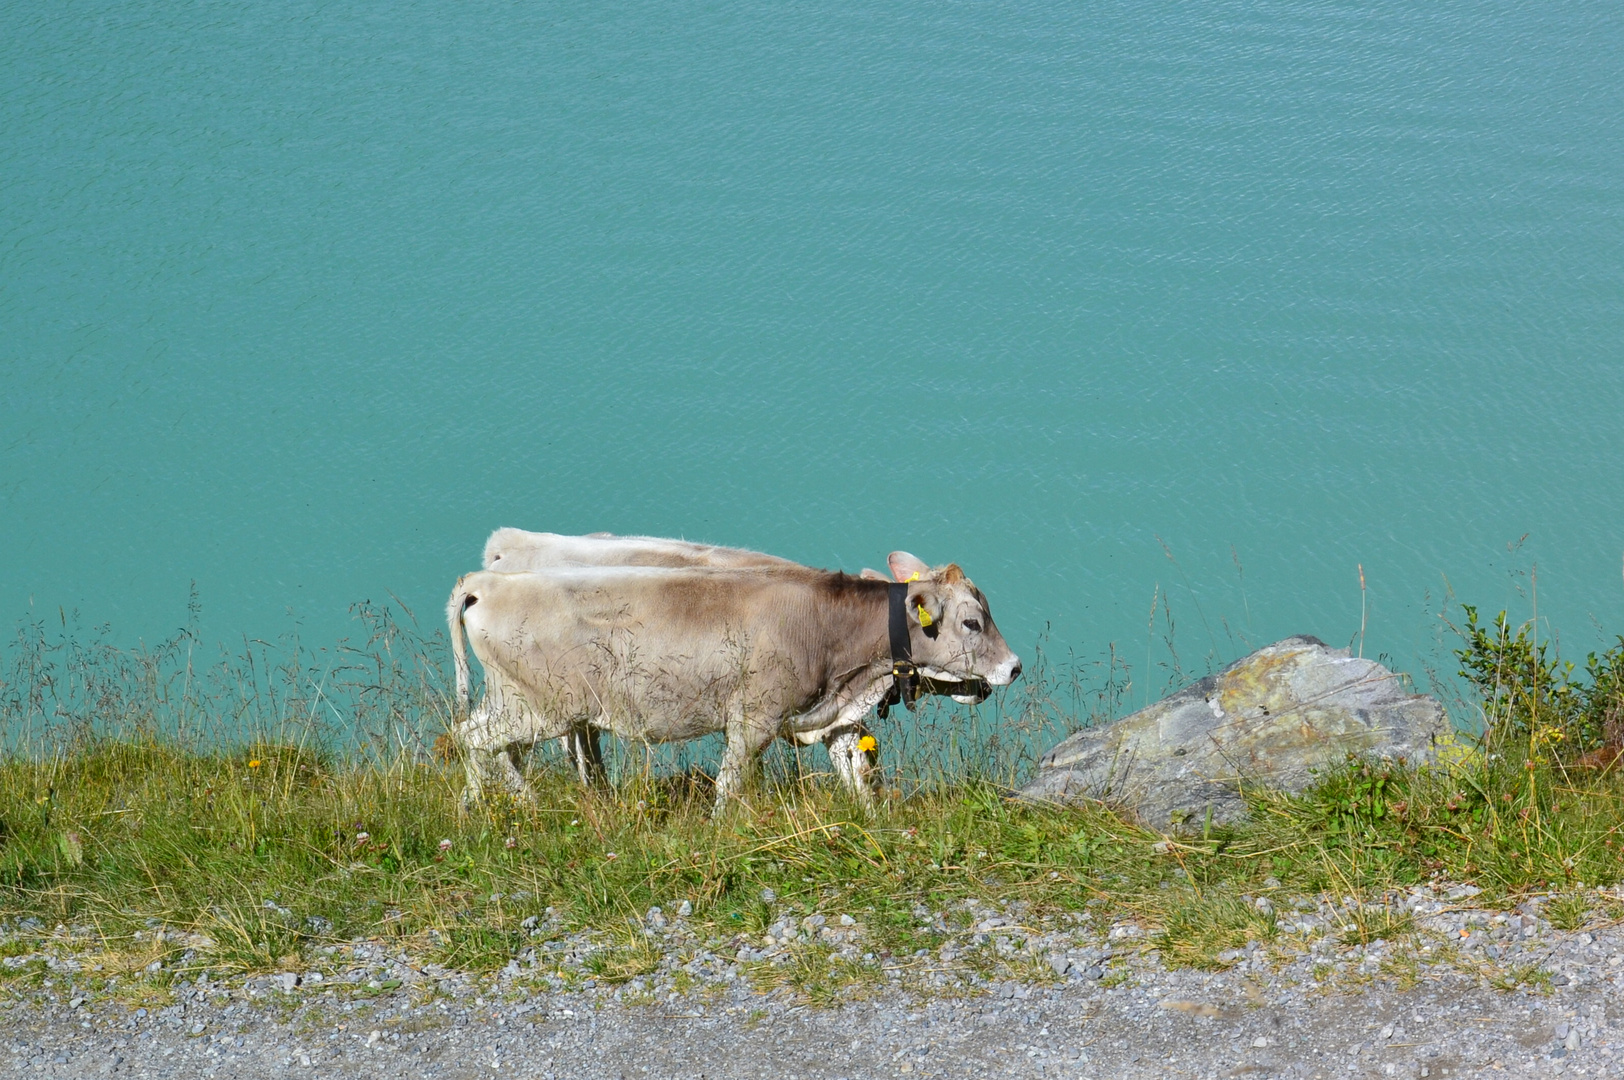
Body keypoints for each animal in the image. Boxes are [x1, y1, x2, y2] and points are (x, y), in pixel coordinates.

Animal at [451, 555, 1019, 808]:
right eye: (973, 622)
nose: (1014, 666)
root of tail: (486, 582)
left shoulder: (833, 715)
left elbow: (856, 774)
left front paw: (875, 821)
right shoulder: (755, 719)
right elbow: (730, 781)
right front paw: (721, 824)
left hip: (517, 700)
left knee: (489, 746)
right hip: (542, 706)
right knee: (473, 740)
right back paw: (500, 806)